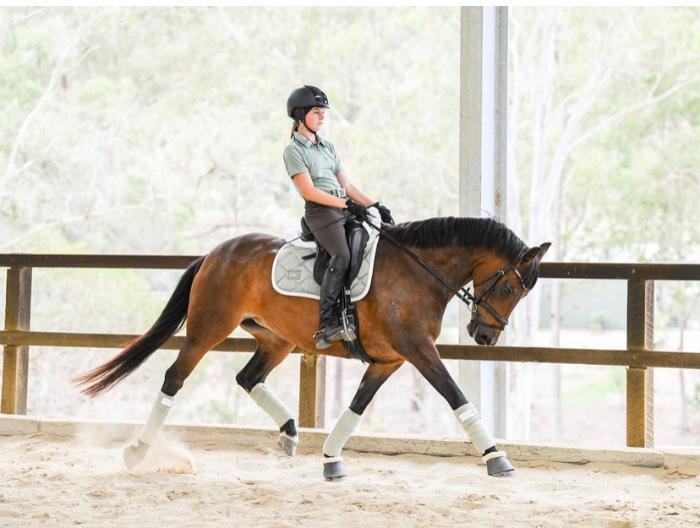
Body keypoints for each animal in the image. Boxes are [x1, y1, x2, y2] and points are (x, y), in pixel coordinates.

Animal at [74, 215, 550, 480]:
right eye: (508, 287)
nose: (485, 337)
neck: (417, 273)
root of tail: (215, 253)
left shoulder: (389, 361)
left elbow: (357, 408)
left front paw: (331, 459)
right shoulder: (417, 351)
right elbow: (457, 396)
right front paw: (496, 457)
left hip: (277, 338)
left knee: (248, 377)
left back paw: (288, 432)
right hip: (207, 331)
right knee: (174, 378)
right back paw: (138, 451)